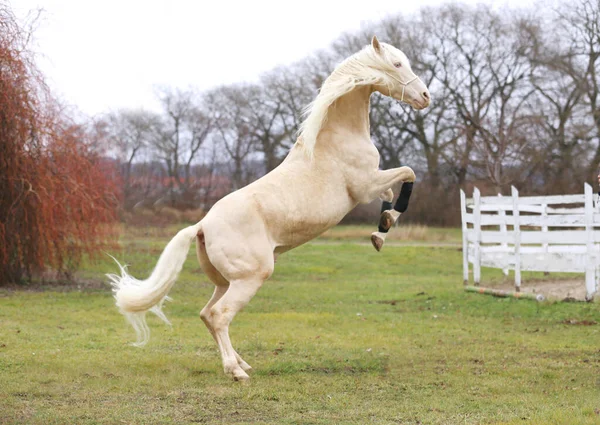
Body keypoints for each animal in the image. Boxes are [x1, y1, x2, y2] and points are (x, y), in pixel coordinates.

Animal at [109, 37, 432, 380]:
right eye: (397, 64)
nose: (425, 97)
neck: (335, 138)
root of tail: (201, 226)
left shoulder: (374, 184)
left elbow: (392, 190)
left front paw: (381, 229)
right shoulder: (364, 186)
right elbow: (408, 174)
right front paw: (384, 226)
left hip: (225, 281)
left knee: (206, 314)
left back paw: (241, 362)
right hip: (250, 277)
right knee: (220, 315)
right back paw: (236, 371)